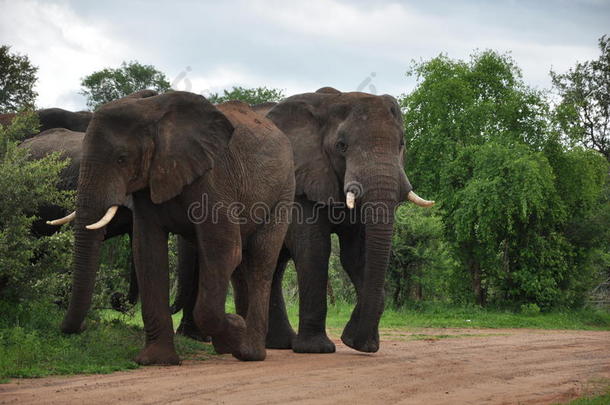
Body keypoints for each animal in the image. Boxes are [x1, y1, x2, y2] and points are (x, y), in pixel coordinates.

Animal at [56, 90, 292, 362]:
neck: (154, 111)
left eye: (122, 159)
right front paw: (156, 361)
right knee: (241, 267)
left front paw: (234, 328)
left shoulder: (215, 178)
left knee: (260, 260)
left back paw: (249, 352)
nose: (77, 328)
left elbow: (222, 250)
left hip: (283, 192)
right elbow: (148, 251)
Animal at [262, 87, 432, 352]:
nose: (359, 342)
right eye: (341, 146)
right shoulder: (301, 180)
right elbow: (315, 249)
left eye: (401, 144)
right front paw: (317, 349)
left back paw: (279, 344)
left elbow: (357, 256)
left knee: (274, 263)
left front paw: (359, 344)